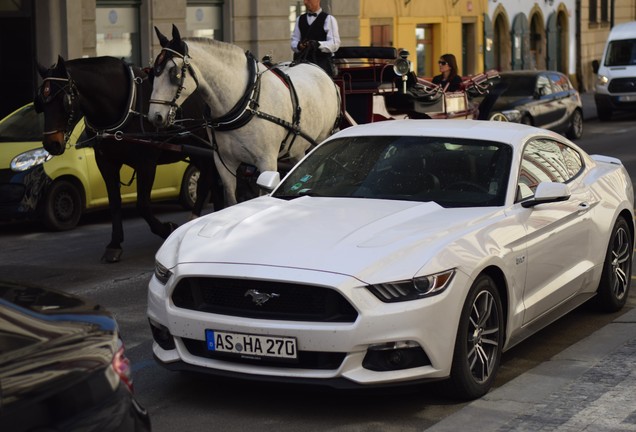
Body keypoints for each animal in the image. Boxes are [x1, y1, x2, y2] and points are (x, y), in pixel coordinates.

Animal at [36, 55, 226, 262]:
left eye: (63, 101)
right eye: (41, 103)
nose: (51, 144)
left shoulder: (146, 163)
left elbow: (142, 204)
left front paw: (166, 228)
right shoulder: (106, 163)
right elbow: (114, 202)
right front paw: (114, 244)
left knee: (206, 181)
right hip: (199, 152)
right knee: (211, 180)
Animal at [148, 26, 342, 207]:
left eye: (173, 72)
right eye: (153, 72)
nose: (154, 117)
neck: (247, 102)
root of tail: (317, 68)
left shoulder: (267, 161)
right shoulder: (224, 161)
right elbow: (231, 199)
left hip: (322, 139)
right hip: (297, 148)